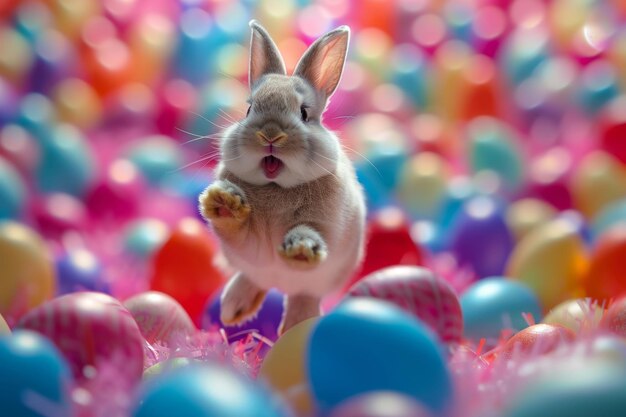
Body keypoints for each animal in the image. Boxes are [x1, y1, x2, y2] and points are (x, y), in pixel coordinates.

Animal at [199, 20, 366, 334]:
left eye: (304, 113)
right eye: (249, 109)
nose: (270, 134)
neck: (276, 187)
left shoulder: (325, 225)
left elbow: (310, 235)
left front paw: (301, 249)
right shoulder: (248, 246)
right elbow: (239, 233)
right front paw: (224, 201)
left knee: (302, 298)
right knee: (252, 279)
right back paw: (233, 310)